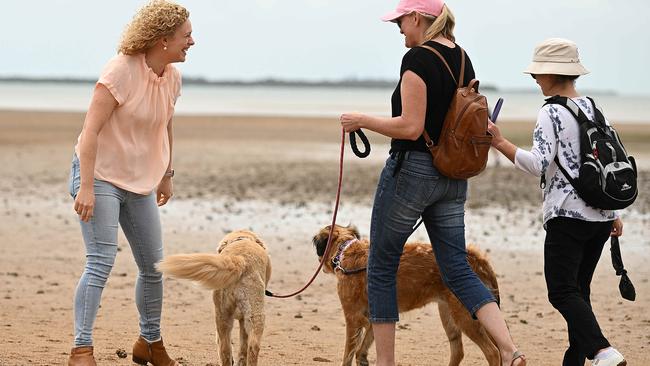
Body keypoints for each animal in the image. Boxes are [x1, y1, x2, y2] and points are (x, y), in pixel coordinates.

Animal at [312, 223, 498, 366]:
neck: (346, 250)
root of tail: (475, 258)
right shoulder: (375, 316)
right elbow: (362, 349)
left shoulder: (353, 317)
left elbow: (348, 354)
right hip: (449, 315)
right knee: (459, 351)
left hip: (465, 316)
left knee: (493, 352)